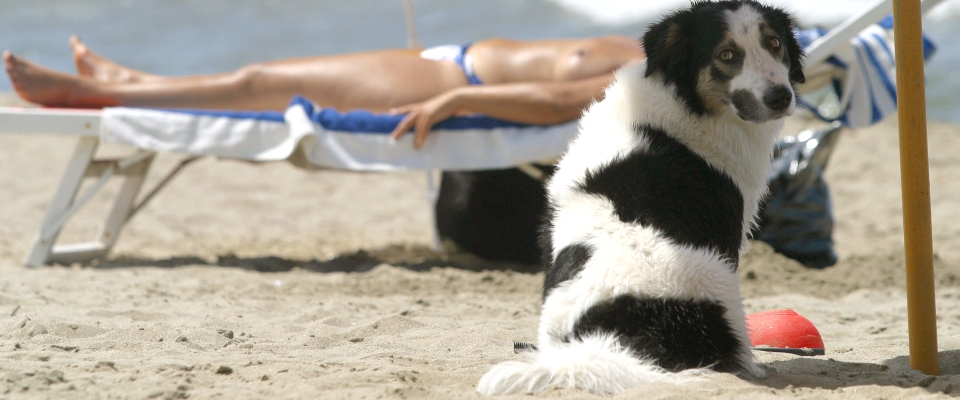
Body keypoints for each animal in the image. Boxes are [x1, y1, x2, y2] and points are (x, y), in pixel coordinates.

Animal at [478, 0, 804, 396]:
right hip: (718, 285)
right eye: (726, 55)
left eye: (774, 43)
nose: (780, 97)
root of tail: (607, 340)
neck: (685, 100)